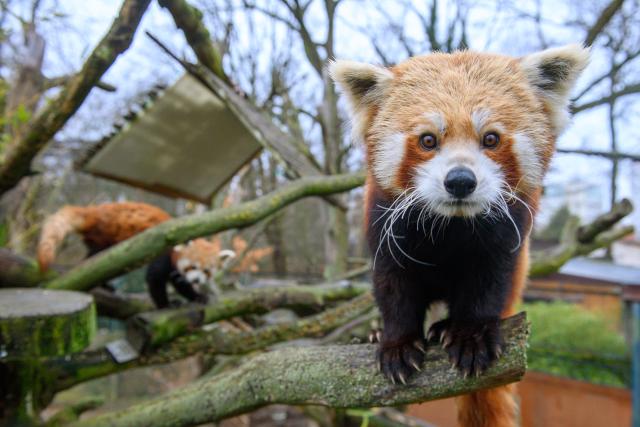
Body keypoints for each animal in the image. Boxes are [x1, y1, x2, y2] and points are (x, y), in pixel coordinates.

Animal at [37, 202, 235, 310]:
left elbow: (179, 283)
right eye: (192, 266)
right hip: (106, 238)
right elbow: (155, 279)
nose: (196, 280)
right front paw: (166, 305)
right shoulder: (163, 253)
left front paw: (196, 296)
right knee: (94, 262)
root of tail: (94, 212)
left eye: (207, 271)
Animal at [332, 45, 588, 426]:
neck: (452, 225)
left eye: (491, 138)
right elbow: (393, 285)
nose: (460, 180)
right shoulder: (384, 224)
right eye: (428, 140)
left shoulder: (507, 235)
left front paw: (471, 336)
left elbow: (489, 282)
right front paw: (396, 342)